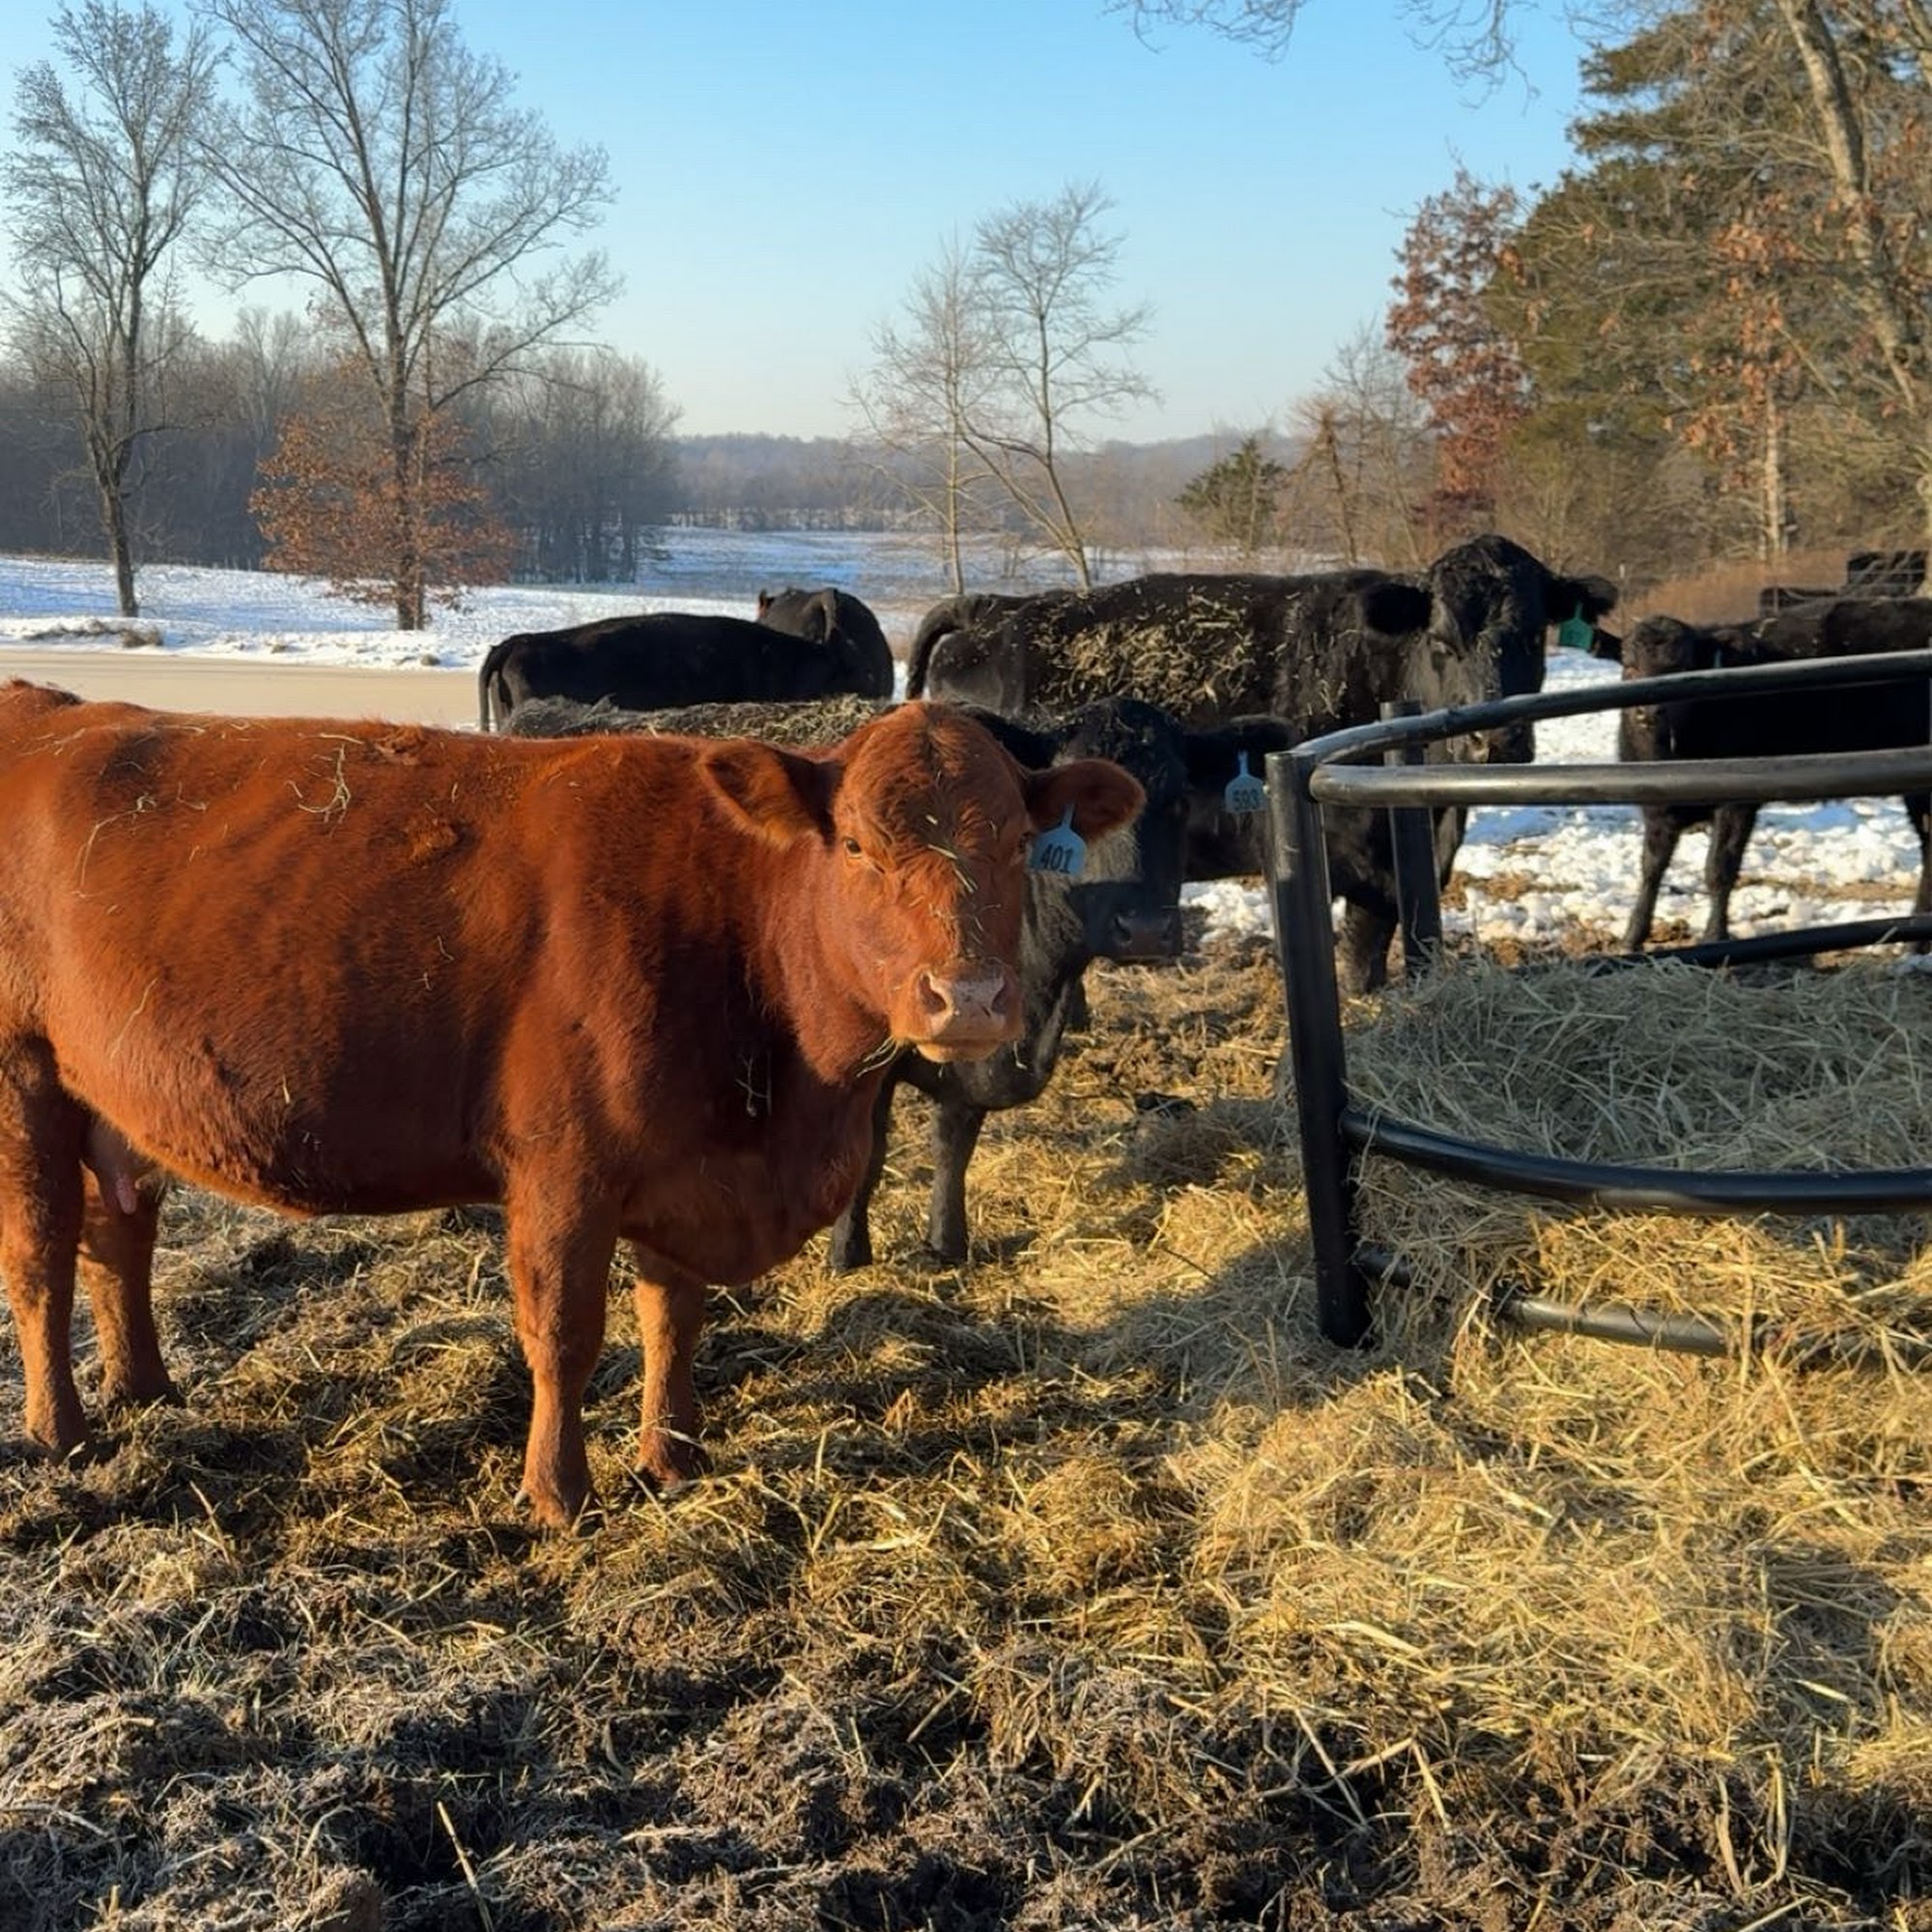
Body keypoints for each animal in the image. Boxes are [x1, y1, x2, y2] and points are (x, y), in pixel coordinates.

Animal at [0, 681, 1143, 1526]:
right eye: (857, 844)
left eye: (1016, 844)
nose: (972, 997)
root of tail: (45, 706)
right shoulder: (563, 1168)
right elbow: (563, 1333)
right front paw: (558, 1492)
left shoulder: (687, 1168)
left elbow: (674, 1317)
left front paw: (673, 1454)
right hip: (24, 1081)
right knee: (43, 1255)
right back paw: (65, 1431)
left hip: (109, 1097)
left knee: (118, 1238)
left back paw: (146, 1389)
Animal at [499, 688, 1292, 1269]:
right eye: (1065, 825)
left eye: (1181, 800)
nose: (1147, 929)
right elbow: (871, 1158)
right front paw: (847, 1256)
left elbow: (954, 1140)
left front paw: (948, 1243)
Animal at [1618, 599, 1932, 951]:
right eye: (1629, 665)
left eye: (1683, 666)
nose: (1648, 712)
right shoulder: (1656, 809)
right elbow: (1651, 867)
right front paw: (1632, 937)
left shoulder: (1736, 803)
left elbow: (1719, 869)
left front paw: (1714, 937)